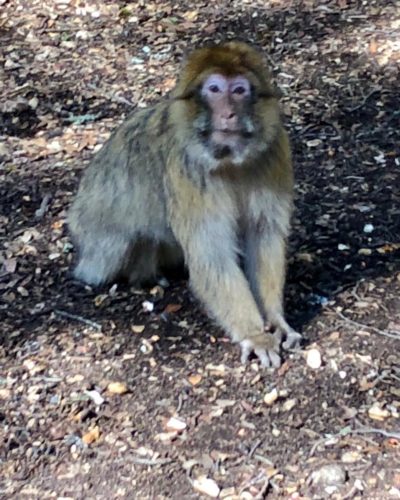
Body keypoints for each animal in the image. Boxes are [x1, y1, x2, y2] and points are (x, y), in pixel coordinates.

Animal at [69, 41, 302, 366]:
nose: (228, 113)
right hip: (94, 239)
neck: (230, 163)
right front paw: (254, 334)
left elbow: (263, 236)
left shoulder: (275, 151)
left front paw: (275, 320)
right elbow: (212, 255)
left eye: (239, 90)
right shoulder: (187, 168)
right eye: (214, 89)